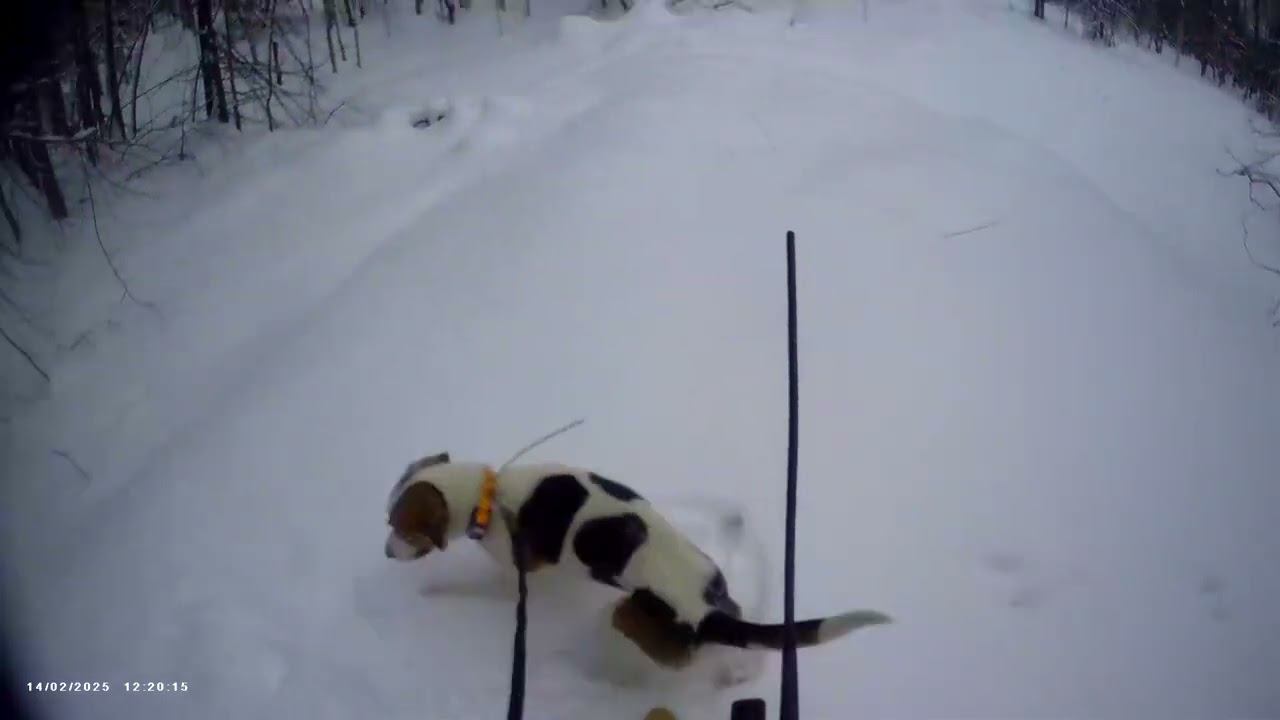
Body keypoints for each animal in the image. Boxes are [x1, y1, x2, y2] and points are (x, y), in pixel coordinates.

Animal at [384, 452, 890, 677]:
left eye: (399, 527)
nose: (388, 553)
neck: (489, 493)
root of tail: (709, 614)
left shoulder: (515, 580)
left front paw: (436, 592)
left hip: (624, 616)